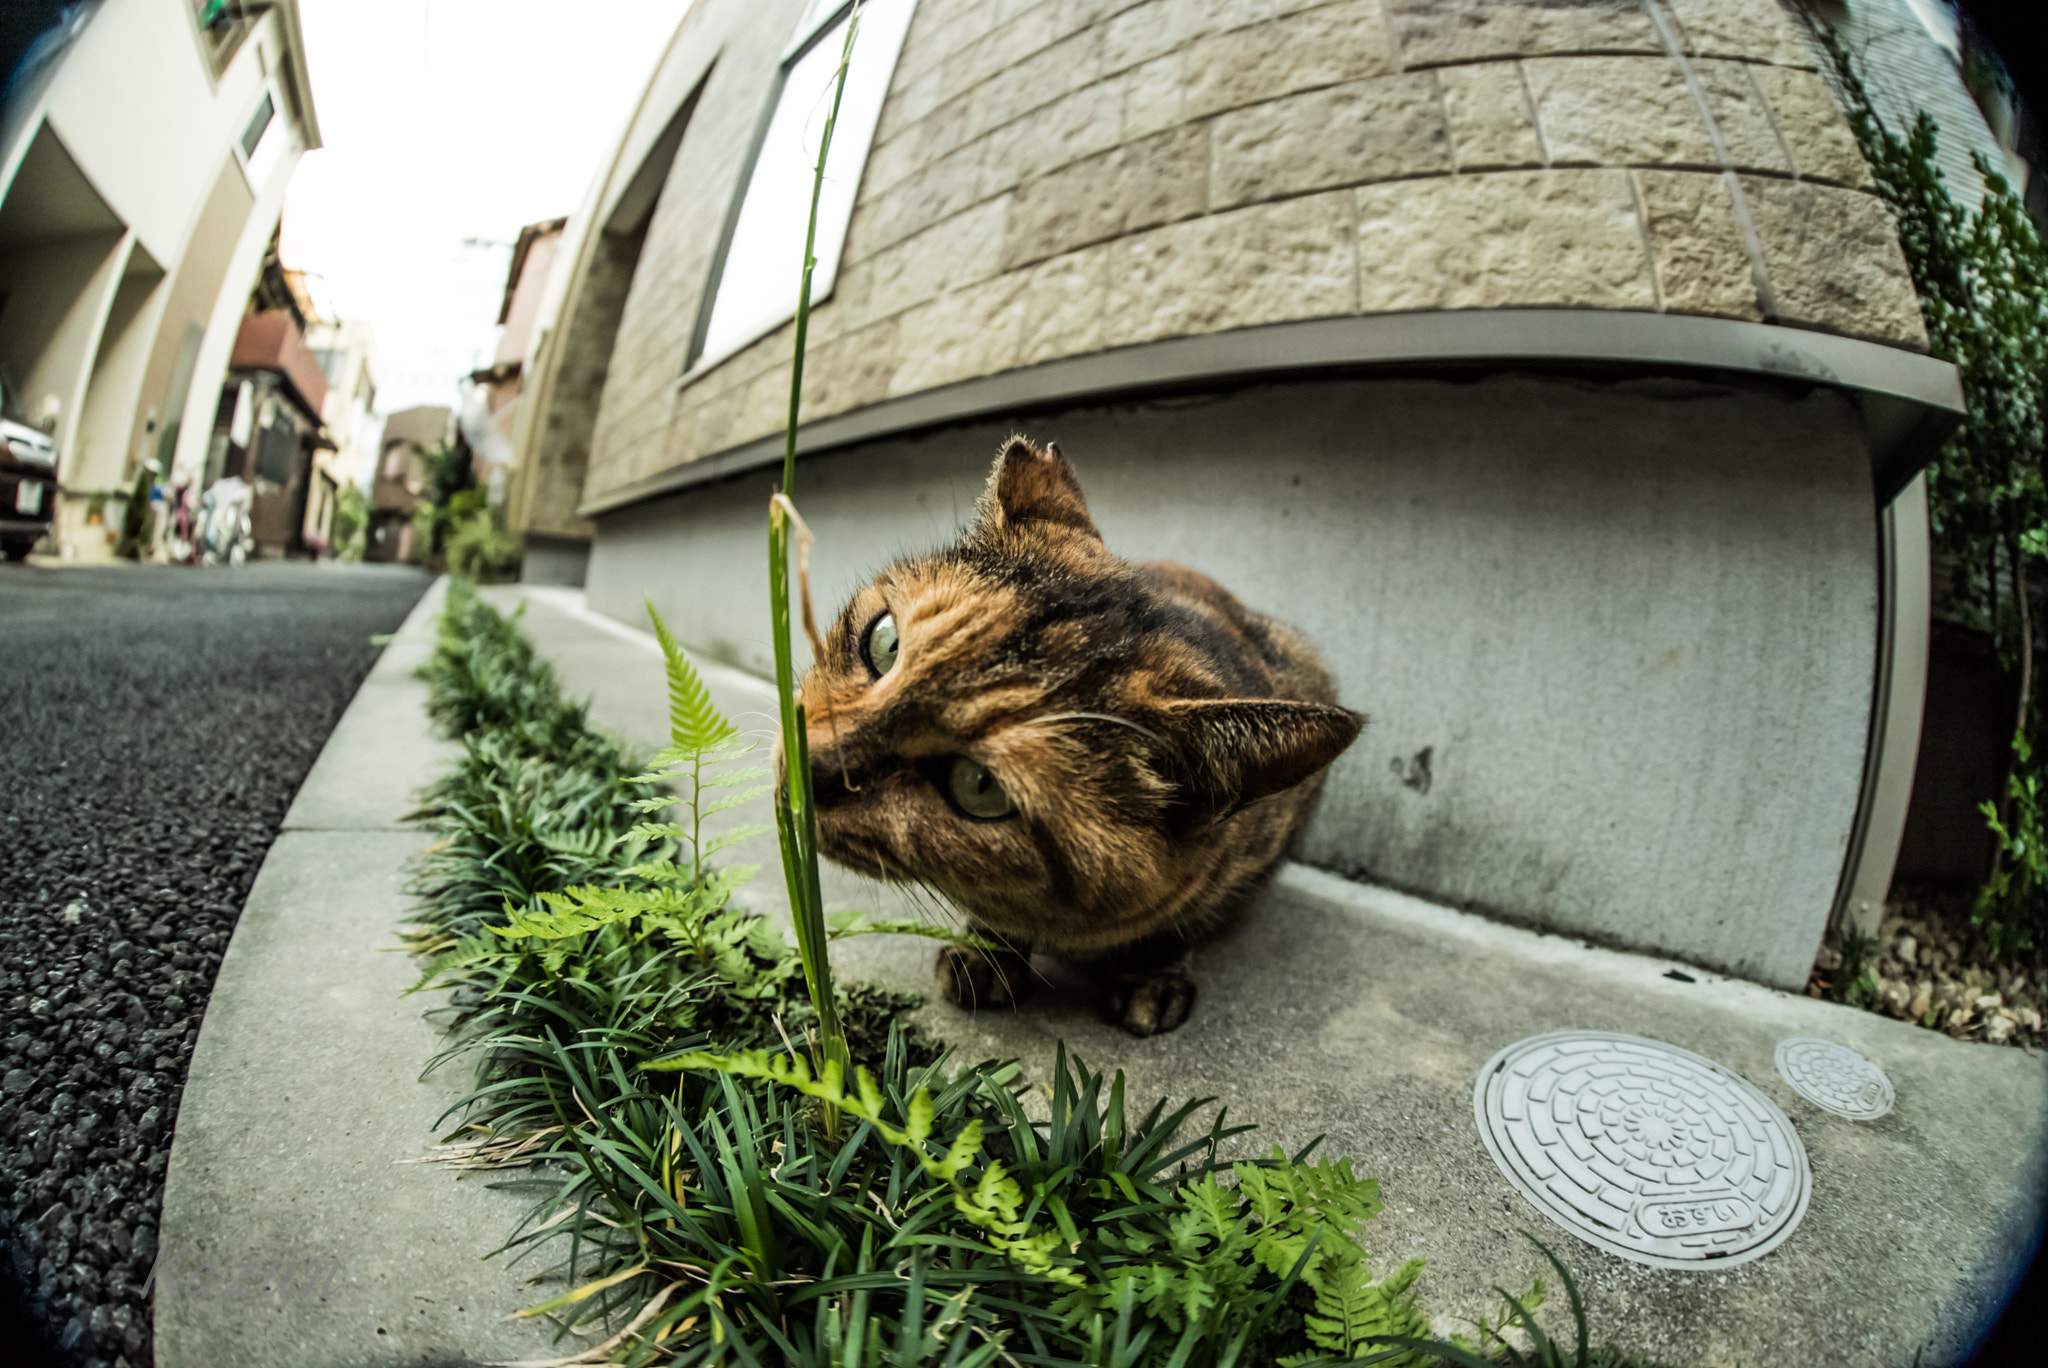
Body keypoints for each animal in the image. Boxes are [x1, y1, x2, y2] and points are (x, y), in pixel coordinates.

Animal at [794, 440, 1359, 1036]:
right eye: (884, 643)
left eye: (979, 787)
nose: (809, 771)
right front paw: (986, 955)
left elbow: (1179, 924)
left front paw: (1151, 977)